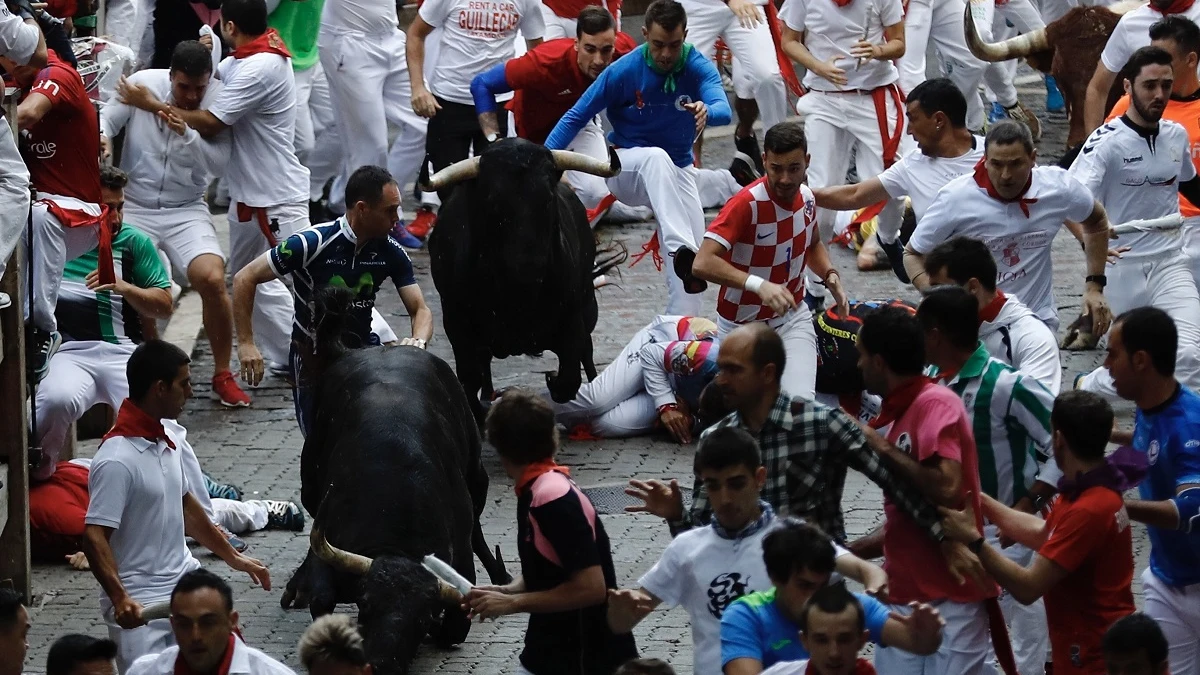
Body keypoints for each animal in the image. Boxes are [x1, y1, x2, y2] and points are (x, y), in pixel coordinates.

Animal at [284, 284, 511, 672]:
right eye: (366, 603)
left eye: (422, 618)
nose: (381, 664)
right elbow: (322, 598)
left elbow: (454, 626)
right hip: (310, 487)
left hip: (477, 477)